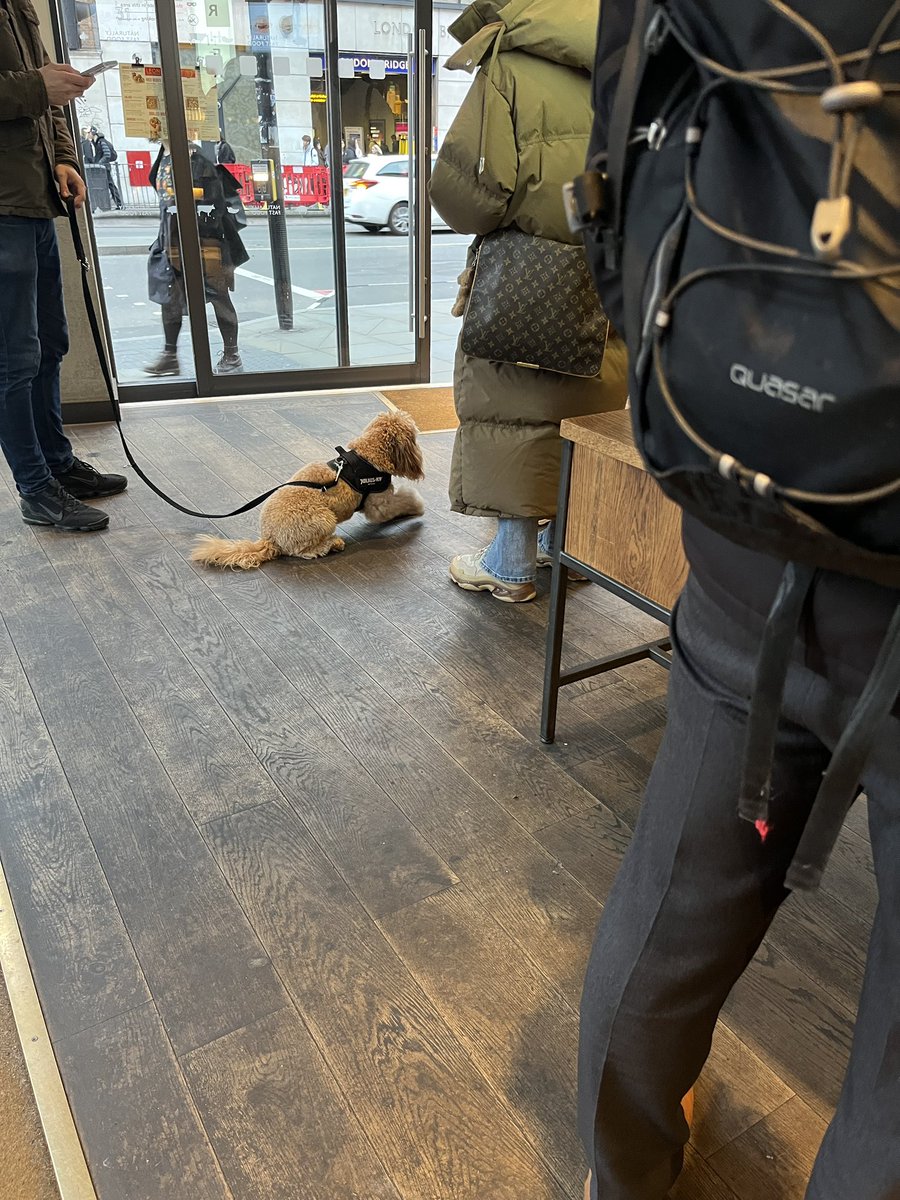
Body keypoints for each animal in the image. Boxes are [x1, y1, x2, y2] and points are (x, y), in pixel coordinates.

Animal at [192, 410, 424, 568]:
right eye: (414, 434)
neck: (368, 454)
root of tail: (269, 539)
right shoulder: (378, 504)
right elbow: (402, 503)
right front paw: (417, 507)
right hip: (324, 520)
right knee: (303, 551)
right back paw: (332, 544)